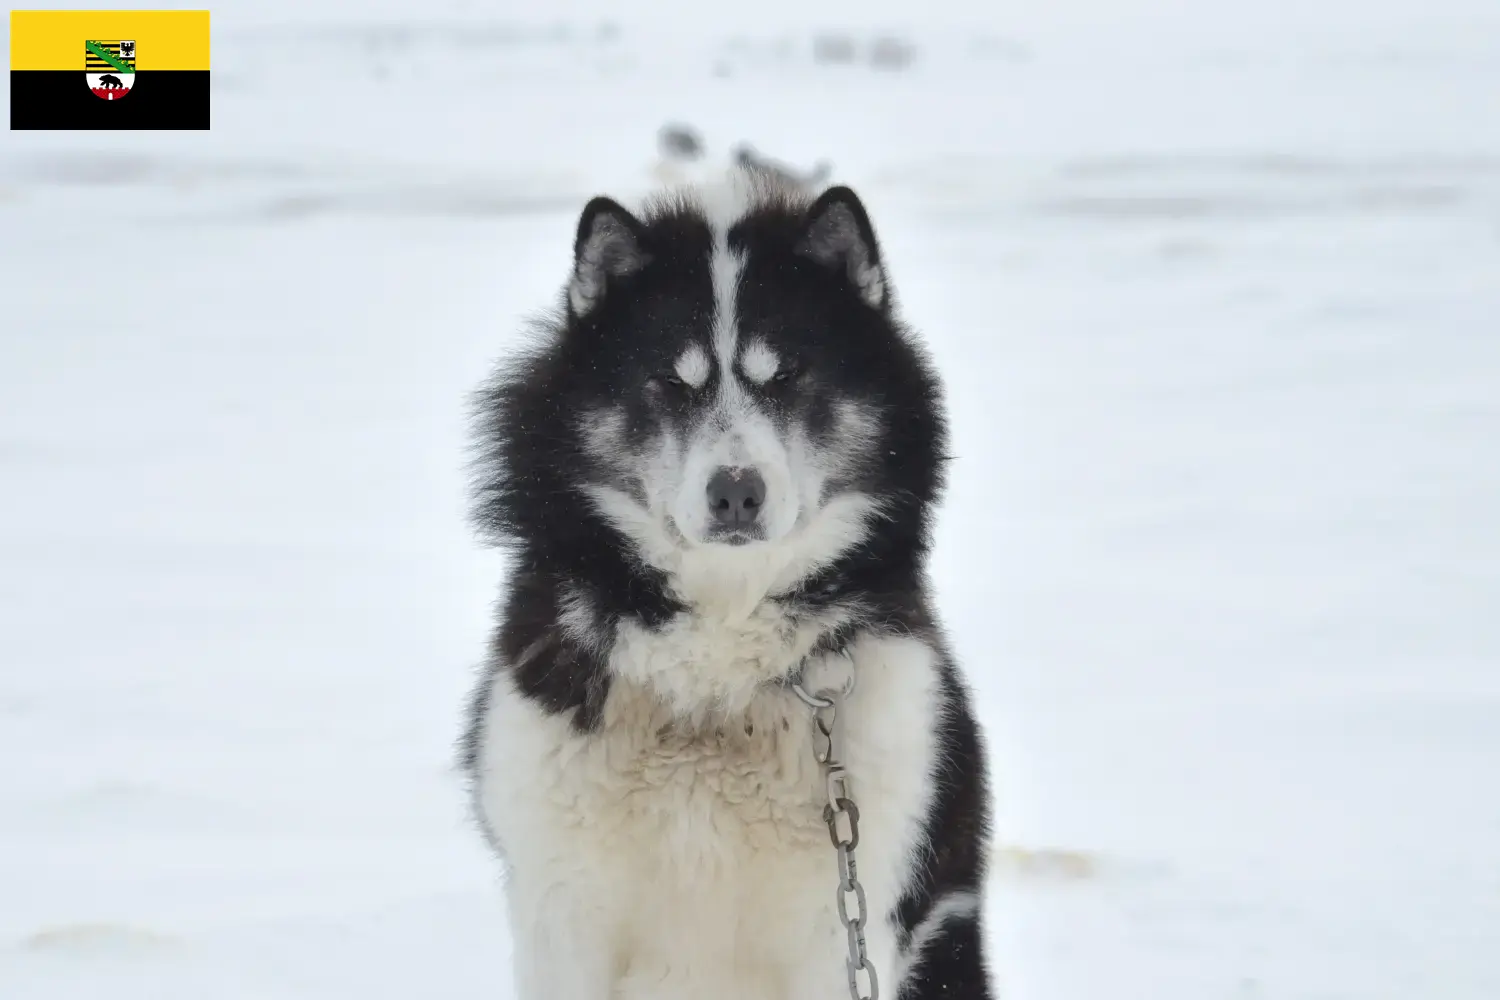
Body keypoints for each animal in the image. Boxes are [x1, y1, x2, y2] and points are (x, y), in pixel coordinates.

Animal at [456, 166, 996, 1000]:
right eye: (670, 385)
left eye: (789, 378)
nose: (735, 493)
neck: (715, 680)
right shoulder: (561, 916)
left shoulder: (845, 917)